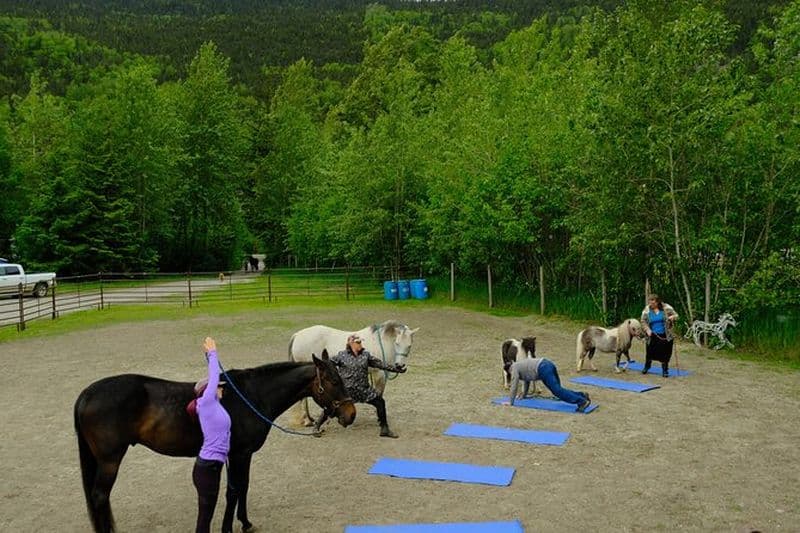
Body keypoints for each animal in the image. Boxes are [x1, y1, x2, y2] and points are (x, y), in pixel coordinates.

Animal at [74, 353, 356, 533]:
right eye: (333, 381)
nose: (350, 414)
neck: (253, 396)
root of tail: (87, 394)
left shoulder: (242, 454)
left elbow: (243, 487)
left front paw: (245, 523)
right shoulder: (239, 454)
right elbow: (234, 490)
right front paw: (229, 527)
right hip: (110, 460)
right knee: (100, 496)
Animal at [288, 320, 419, 426]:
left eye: (409, 345)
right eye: (397, 343)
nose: (400, 366)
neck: (380, 342)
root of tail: (297, 335)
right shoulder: (379, 374)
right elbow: (379, 394)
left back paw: (310, 419)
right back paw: (307, 421)